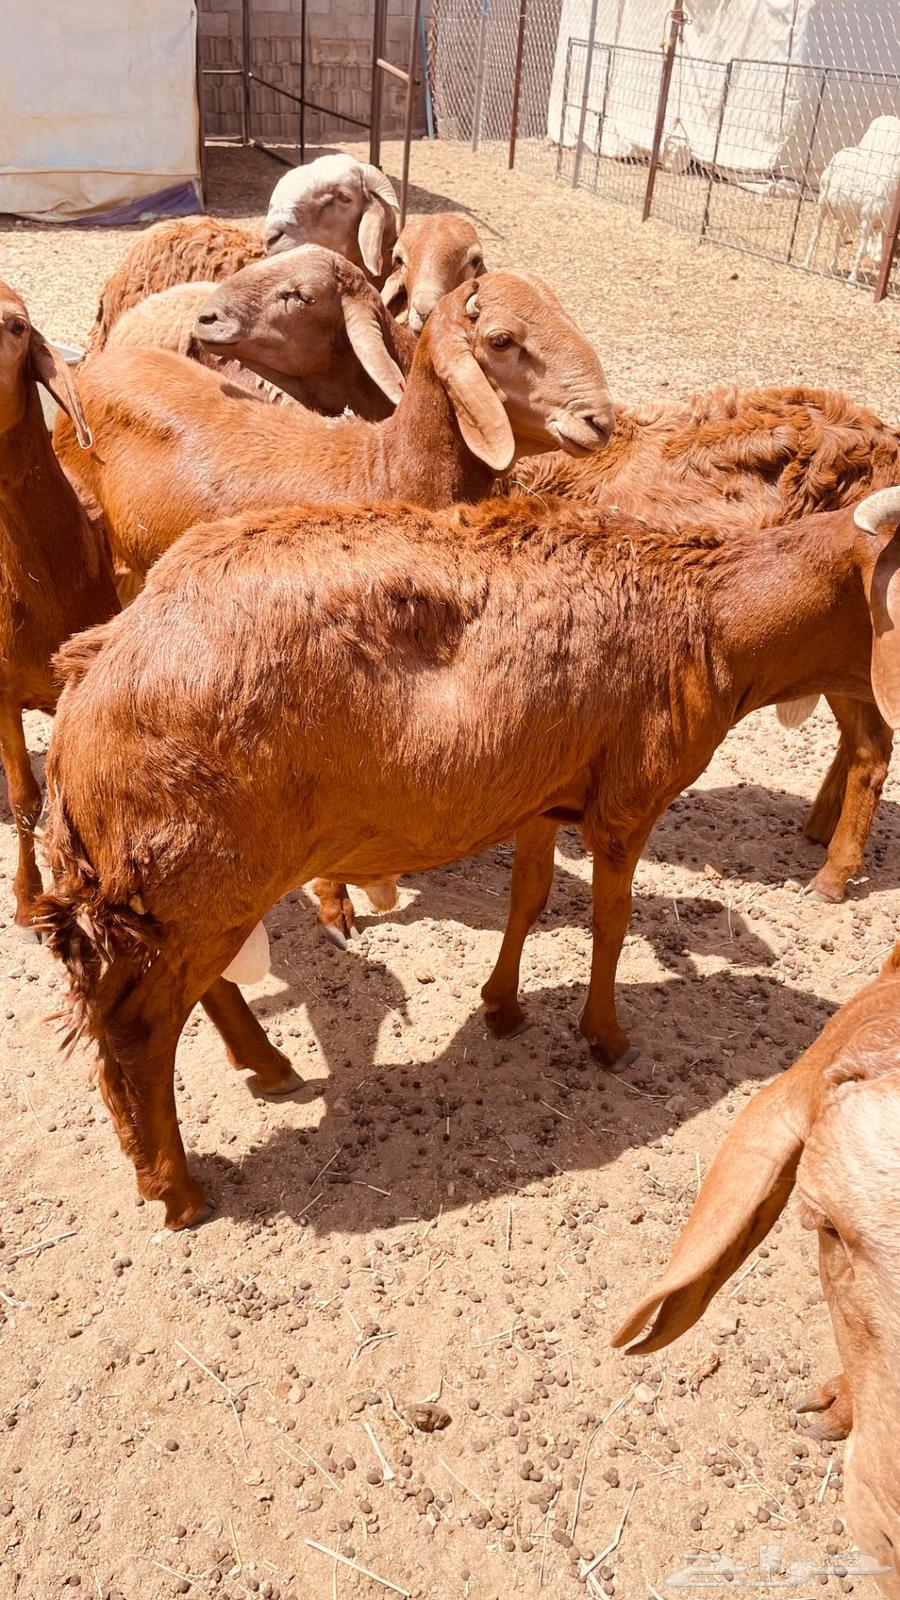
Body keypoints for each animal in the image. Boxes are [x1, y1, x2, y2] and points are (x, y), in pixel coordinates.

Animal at [35, 484, 900, 1229]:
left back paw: (265, 1064)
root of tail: (94, 667)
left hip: (182, 890)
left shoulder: (542, 796)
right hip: (196, 872)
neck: (713, 619)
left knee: (186, 995)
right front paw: (606, 1037)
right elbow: (611, 921)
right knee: (137, 1033)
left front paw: (504, 1007)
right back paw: (175, 1186)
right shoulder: (628, 800)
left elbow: (530, 896)